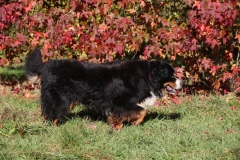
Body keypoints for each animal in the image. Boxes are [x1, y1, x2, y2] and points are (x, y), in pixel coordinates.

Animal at [24, 48, 182, 129]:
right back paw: (55, 129)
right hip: (60, 98)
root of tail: (46, 66)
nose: (182, 84)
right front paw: (133, 123)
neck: (148, 75)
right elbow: (141, 111)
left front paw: (117, 125)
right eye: (172, 75)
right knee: (52, 114)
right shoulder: (120, 101)